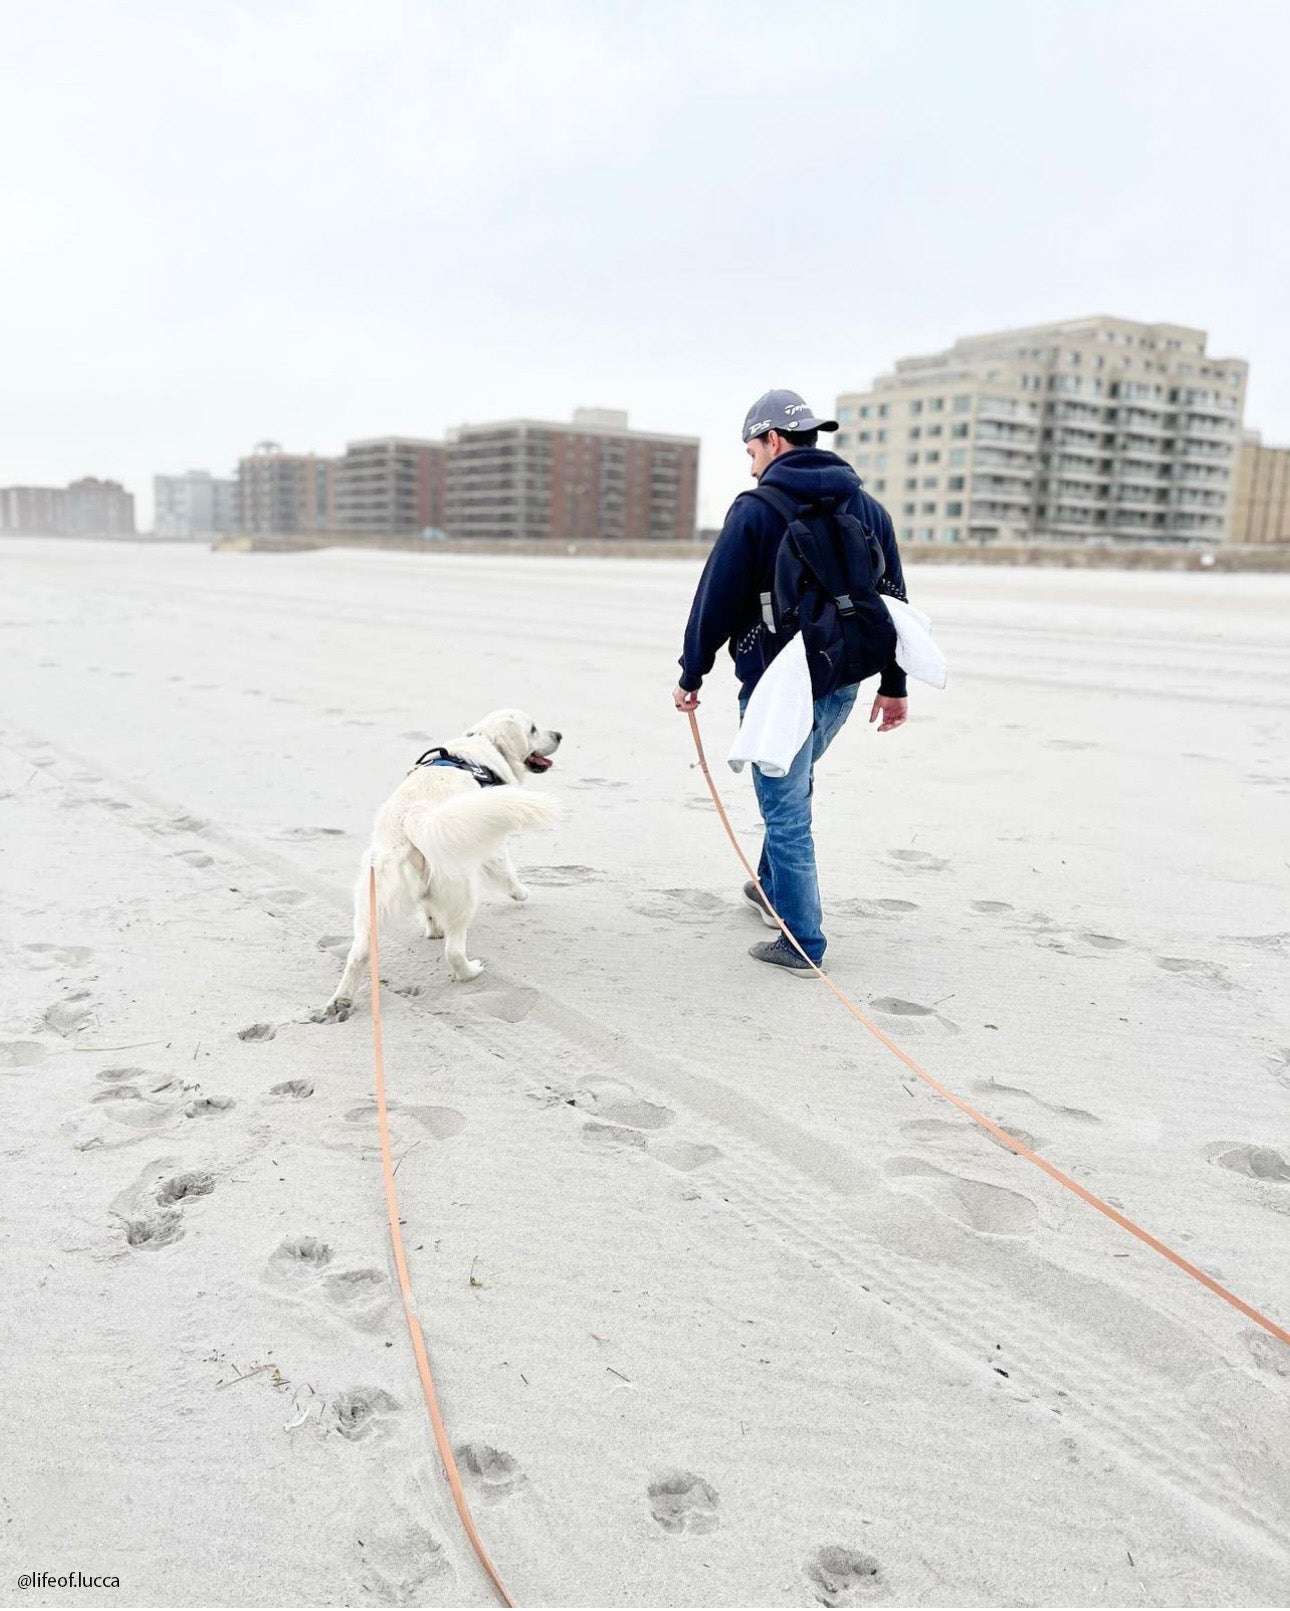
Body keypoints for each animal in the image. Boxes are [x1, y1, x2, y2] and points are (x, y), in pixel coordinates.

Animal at [318, 708, 557, 1018]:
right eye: (533, 729)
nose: (559, 735)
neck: (485, 744)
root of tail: (411, 818)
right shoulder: (491, 844)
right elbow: (506, 870)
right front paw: (521, 892)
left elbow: (429, 908)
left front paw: (433, 929)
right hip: (463, 892)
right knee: (454, 952)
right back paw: (471, 971)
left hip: (372, 901)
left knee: (358, 953)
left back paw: (342, 1001)